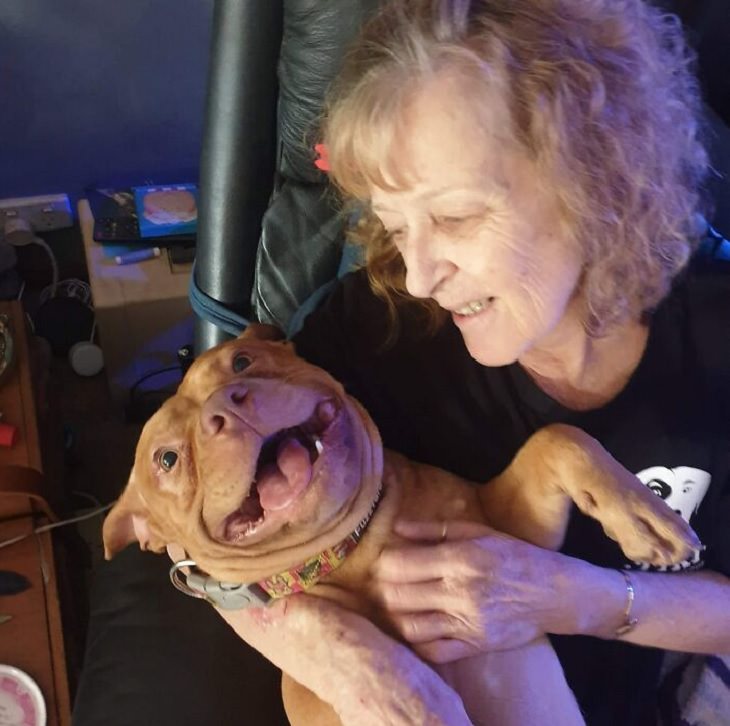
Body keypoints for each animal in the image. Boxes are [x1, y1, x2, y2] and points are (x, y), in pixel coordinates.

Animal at [104, 330, 700, 726]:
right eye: (166, 460)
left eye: (242, 360)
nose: (224, 409)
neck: (357, 543)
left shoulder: (516, 540)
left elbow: (558, 438)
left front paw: (646, 517)